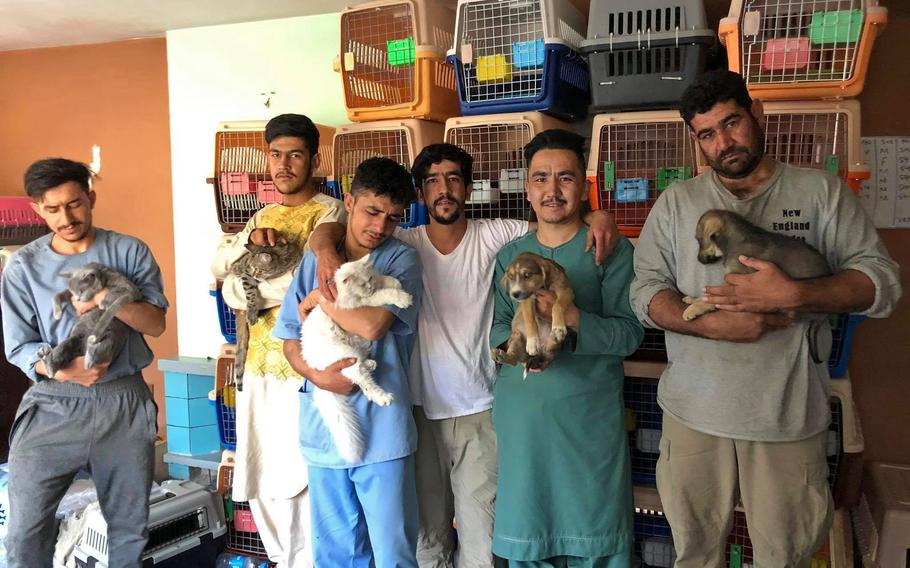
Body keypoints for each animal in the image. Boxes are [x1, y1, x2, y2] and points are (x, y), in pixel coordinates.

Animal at [228, 240, 302, 390]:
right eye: (251, 267)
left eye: (259, 269)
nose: (254, 274)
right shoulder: (246, 274)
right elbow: (250, 293)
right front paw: (252, 311)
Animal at [300, 255, 414, 464]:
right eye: (362, 284)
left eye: (369, 278)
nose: (369, 287)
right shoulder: (364, 303)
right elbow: (384, 294)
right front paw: (403, 297)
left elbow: (385, 280)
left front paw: (394, 281)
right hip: (345, 355)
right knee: (363, 382)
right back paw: (384, 398)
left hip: (353, 354)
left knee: (360, 371)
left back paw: (371, 364)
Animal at [684, 207, 832, 320]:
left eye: (699, 240)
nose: (698, 260)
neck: (734, 241)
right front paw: (693, 300)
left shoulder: (737, 278)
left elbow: (710, 297)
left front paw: (693, 309)